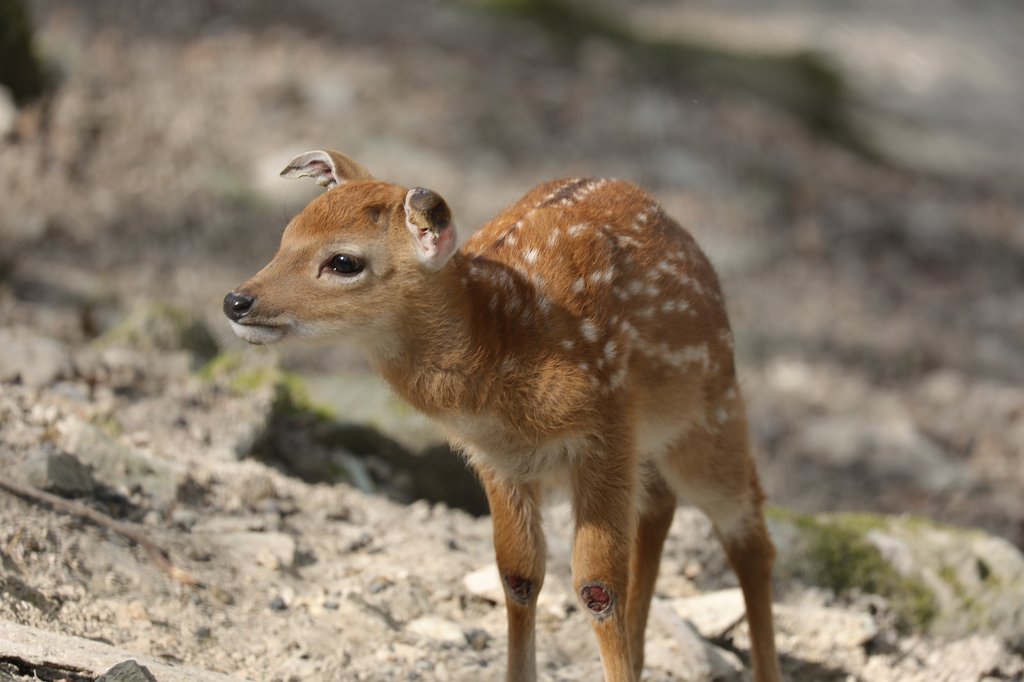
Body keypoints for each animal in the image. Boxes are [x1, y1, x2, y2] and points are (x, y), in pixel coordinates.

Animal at [223, 149, 782, 682]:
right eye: (285, 237)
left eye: (343, 261)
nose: (236, 301)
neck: (504, 346)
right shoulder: (499, 460)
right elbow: (518, 575)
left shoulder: (605, 429)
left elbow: (596, 586)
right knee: (661, 508)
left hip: (710, 413)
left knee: (749, 531)